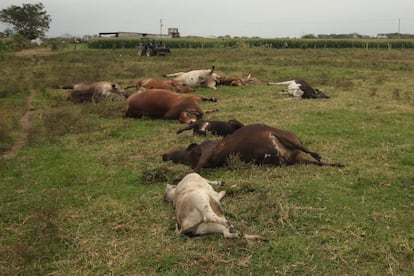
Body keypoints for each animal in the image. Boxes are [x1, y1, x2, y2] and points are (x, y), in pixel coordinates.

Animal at [163, 123, 344, 171]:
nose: (164, 155)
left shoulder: (206, 150)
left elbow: (197, 167)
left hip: (286, 137)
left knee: (308, 150)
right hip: (296, 155)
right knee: (315, 160)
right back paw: (336, 163)